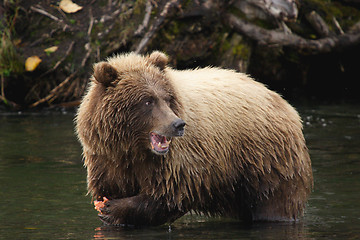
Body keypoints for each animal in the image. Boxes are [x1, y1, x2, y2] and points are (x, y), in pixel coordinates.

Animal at [75, 51, 312, 227]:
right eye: (147, 101)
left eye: (166, 98)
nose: (177, 124)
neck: (132, 148)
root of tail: (283, 102)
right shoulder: (107, 159)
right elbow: (111, 187)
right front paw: (108, 206)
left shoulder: (176, 162)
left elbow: (166, 196)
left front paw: (113, 209)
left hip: (265, 160)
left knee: (275, 201)